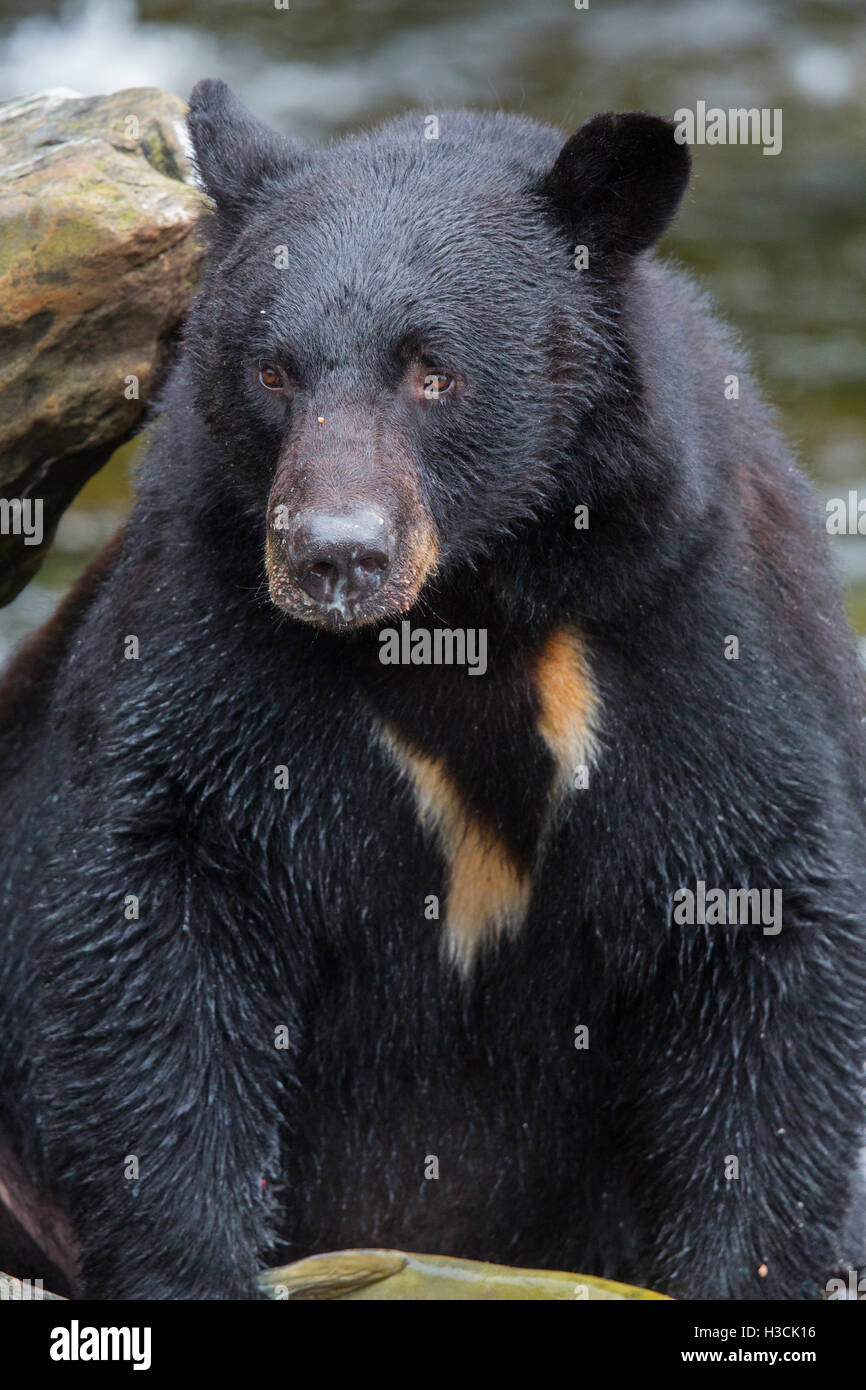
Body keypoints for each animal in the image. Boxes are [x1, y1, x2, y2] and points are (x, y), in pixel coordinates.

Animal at [1, 78, 866, 1301]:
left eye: (434, 370)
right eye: (274, 369)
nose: (333, 555)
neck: (462, 614)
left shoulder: (693, 616)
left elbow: (760, 912)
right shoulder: (204, 618)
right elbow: (159, 898)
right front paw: (194, 1261)